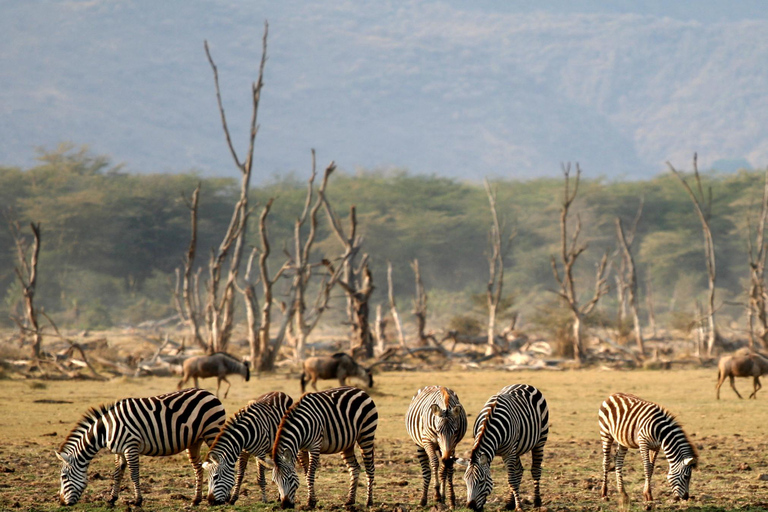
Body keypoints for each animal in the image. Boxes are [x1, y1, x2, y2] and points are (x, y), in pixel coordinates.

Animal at [54, 390, 225, 506]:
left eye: (63, 477)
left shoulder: (131, 446)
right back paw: (196, 500)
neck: (106, 430)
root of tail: (209, 393)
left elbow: (133, 473)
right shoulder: (119, 451)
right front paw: (112, 498)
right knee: (198, 468)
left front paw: (137, 500)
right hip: (194, 441)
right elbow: (117, 473)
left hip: (212, 432)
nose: (61, 502)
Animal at [464, 384, 548, 512]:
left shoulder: (509, 452)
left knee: (535, 470)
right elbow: (513, 478)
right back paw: (510, 502)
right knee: (519, 471)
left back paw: (537, 502)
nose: (470, 507)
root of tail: (525, 384)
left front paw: (519, 506)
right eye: (465, 481)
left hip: (539, 441)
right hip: (517, 449)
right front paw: (513, 503)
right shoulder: (508, 452)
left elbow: (511, 480)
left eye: (482, 481)